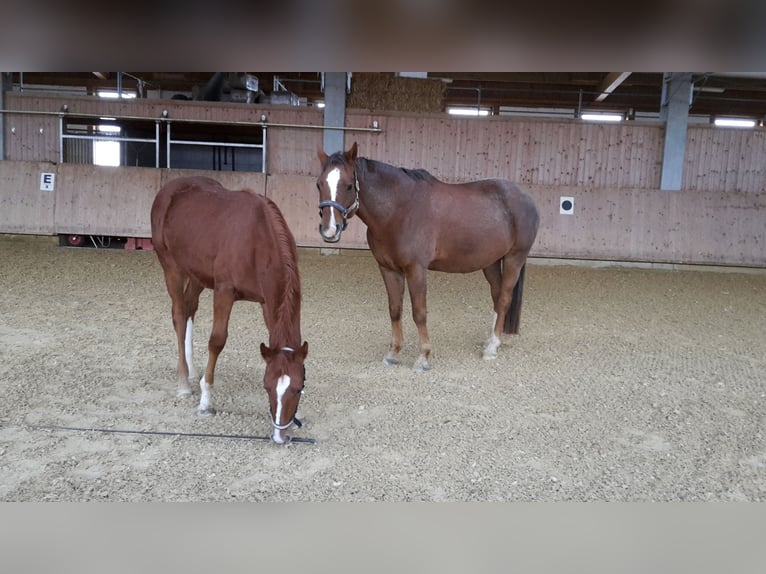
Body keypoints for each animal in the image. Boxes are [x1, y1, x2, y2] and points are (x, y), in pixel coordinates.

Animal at [153, 177, 308, 446]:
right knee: (179, 315)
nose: (280, 436)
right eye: (266, 387)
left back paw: (193, 371)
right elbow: (217, 341)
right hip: (172, 268)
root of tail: (170, 188)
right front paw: (206, 401)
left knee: (190, 308)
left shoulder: (267, 301)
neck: (257, 239)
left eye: (298, 388)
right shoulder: (224, 291)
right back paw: (184, 381)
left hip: (197, 275)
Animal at [316, 142, 540, 372]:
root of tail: (525, 197)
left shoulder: (416, 269)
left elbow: (419, 312)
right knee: (496, 295)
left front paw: (423, 357)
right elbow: (395, 309)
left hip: (514, 258)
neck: (399, 211)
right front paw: (393, 353)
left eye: (348, 186)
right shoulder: (388, 269)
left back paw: (492, 347)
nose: (329, 230)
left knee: (504, 298)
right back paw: (489, 340)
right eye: (319, 184)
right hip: (491, 262)